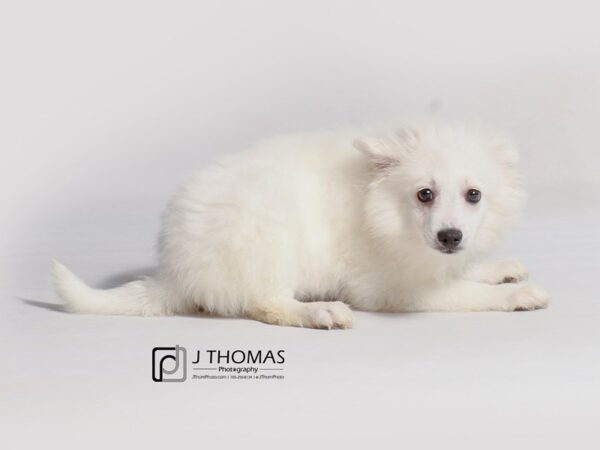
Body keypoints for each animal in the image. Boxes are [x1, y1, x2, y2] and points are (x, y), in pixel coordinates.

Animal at [54, 121, 552, 328]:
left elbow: (463, 271)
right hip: (269, 233)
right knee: (264, 303)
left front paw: (499, 268)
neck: (383, 212)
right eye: (424, 194)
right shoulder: (391, 290)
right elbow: (465, 292)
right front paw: (517, 295)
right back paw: (319, 312)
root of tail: (176, 272)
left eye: (474, 195)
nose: (450, 236)